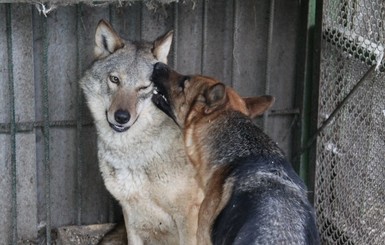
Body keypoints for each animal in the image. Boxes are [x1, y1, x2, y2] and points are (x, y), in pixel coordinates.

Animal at [80, 20, 202, 244]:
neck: (131, 154)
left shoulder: (188, 216)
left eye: (144, 87)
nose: (121, 117)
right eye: (115, 79)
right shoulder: (130, 213)